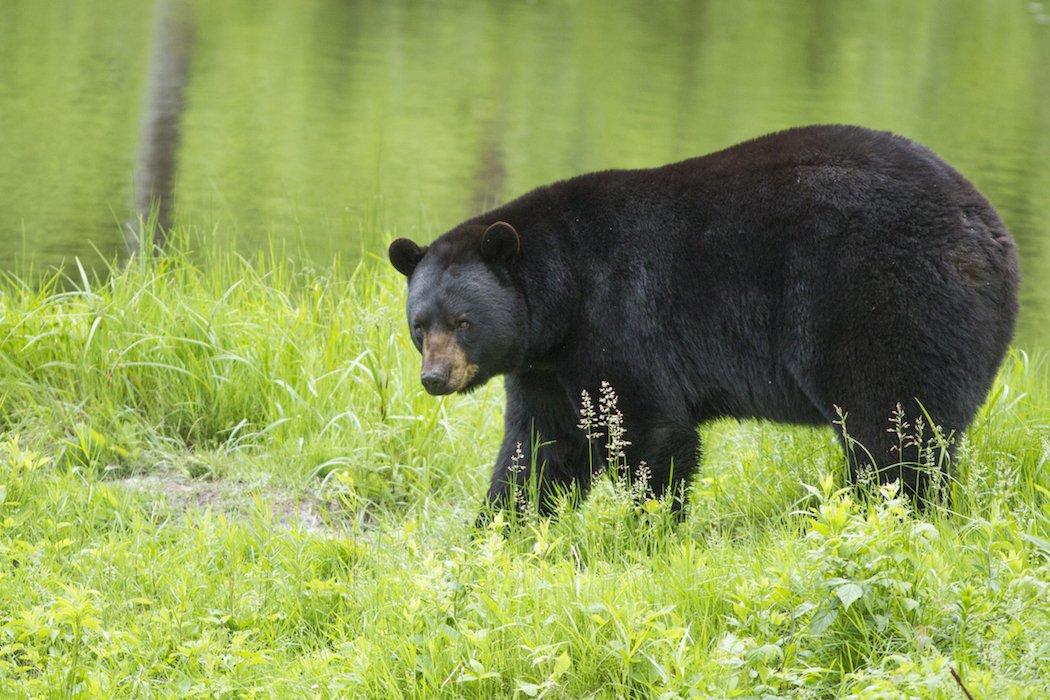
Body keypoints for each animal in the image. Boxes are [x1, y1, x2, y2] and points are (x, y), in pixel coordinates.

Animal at [386, 125, 1016, 518]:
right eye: (419, 326)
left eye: (464, 322)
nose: (434, 378)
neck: (562, 292)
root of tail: (991, 231)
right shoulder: (546, 364)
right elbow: (539, 447)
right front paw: (498, 531)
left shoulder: (617, 315)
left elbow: (650, 429)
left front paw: (648, 531)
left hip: (888, 301)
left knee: (894, 426)